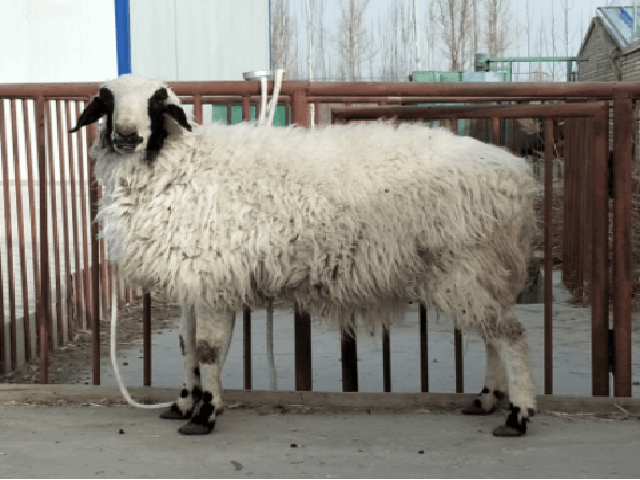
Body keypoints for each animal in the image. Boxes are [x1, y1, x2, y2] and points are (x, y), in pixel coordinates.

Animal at [71, 74, 537, 437]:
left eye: (156, 103)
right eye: (107, 100)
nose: (127, 136)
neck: (175, 165)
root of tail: (516, 173)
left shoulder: (213, 278)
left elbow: (207, 350)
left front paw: (205, 415)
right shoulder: (194, 276)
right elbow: (188, 347)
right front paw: (184, 403)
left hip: (466, 263)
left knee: (509, 334)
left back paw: (518, 414)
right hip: (476, 269)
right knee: (493, 333)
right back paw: (487, 400)